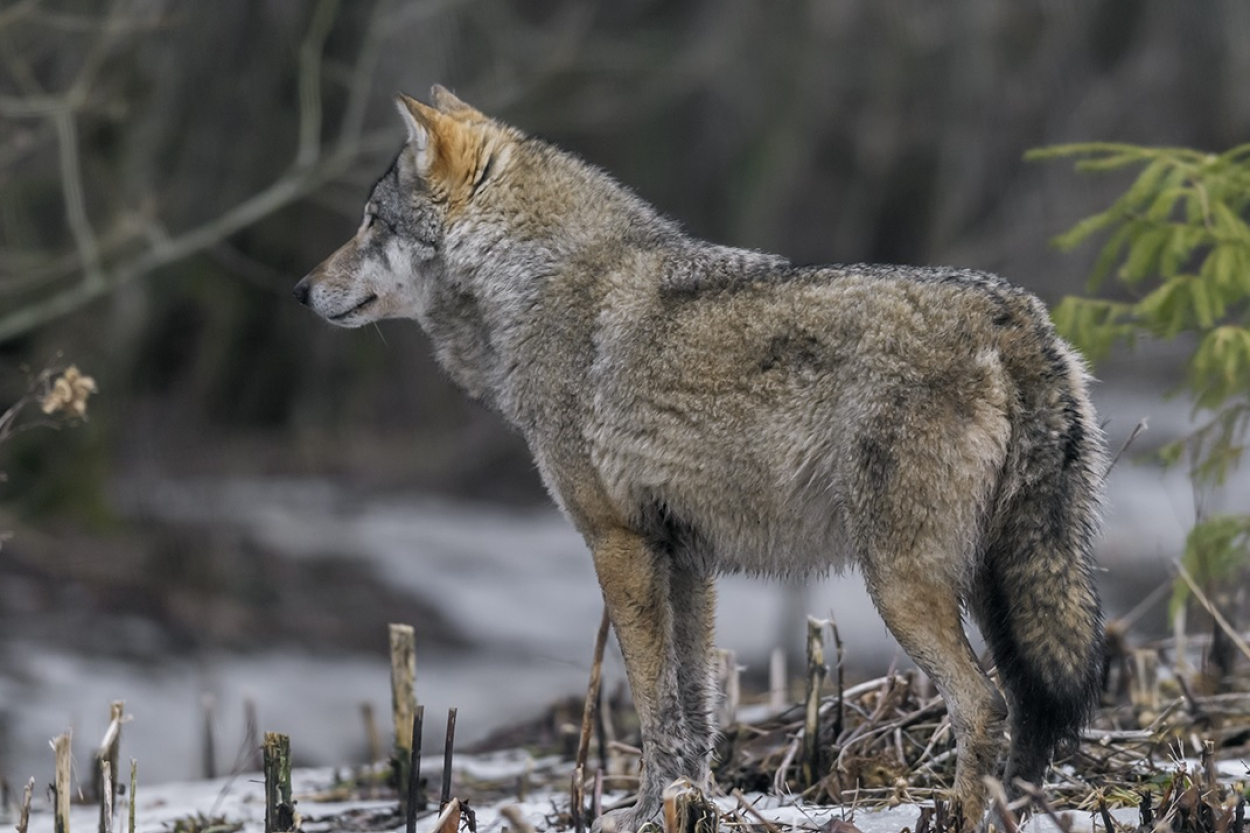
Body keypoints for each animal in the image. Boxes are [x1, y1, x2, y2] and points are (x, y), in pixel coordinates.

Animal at [292, 84, 1105, 825]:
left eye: (371, 223)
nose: (300, 289)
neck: (534, 286)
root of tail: (1017, 316)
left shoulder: (619, 546)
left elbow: (654, 706)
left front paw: (646, 812)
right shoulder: (687, 559)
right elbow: (693, 706)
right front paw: (684, 800)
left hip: (903, 585)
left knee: (985, 703)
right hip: (999, 582)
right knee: (1025, 711)